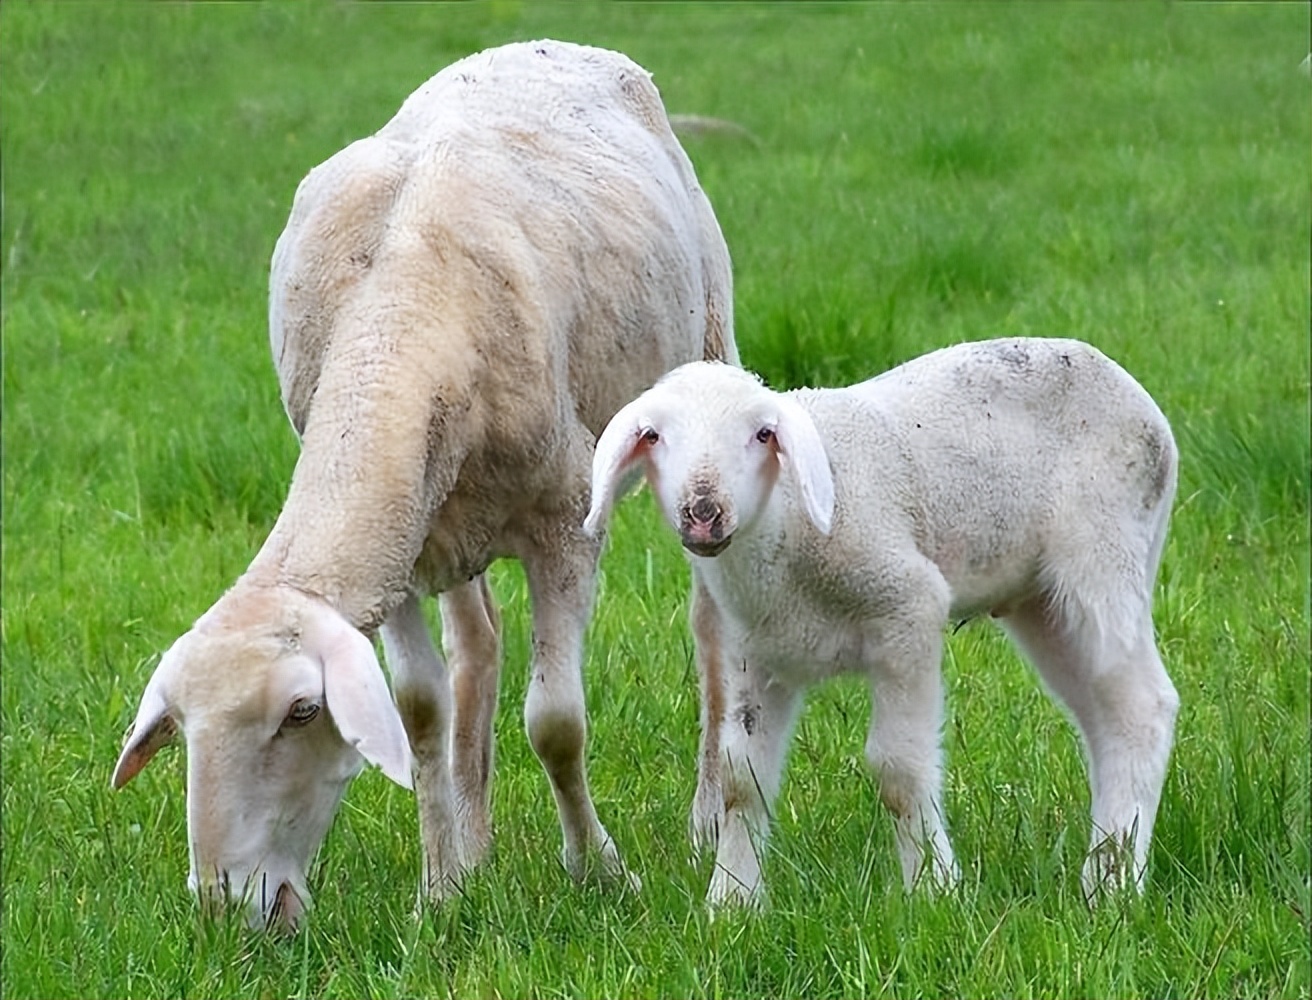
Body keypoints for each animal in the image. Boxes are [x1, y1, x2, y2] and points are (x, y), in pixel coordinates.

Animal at [110, 39, 739, 929]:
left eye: (300, 712)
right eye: (184, 731)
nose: (226, 909)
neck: (396, 321)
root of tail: (549, 44)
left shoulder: (563, 523)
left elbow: (556, 722)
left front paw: (601, 874)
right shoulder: (401, 556)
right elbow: (419, 711)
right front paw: (441, 891)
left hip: (707, 353)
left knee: (709, 621)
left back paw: (708, 819)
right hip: (449, 523)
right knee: (477, 642)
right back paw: (474, 845)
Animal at [585, 335, 1180, 902]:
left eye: (762, 434)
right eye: (654, 436)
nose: (704, 513)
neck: (789, 528)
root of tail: (1141, 401)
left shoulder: (907, 609)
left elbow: (899, 769)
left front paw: (933, 887)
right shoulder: (755, 655)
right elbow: (740, 778)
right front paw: (732, 901)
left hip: (1102, 558)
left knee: (1141, 706)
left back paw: (1115, 881)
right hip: (1040, 601)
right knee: (1103, 717)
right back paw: (1104, 864)